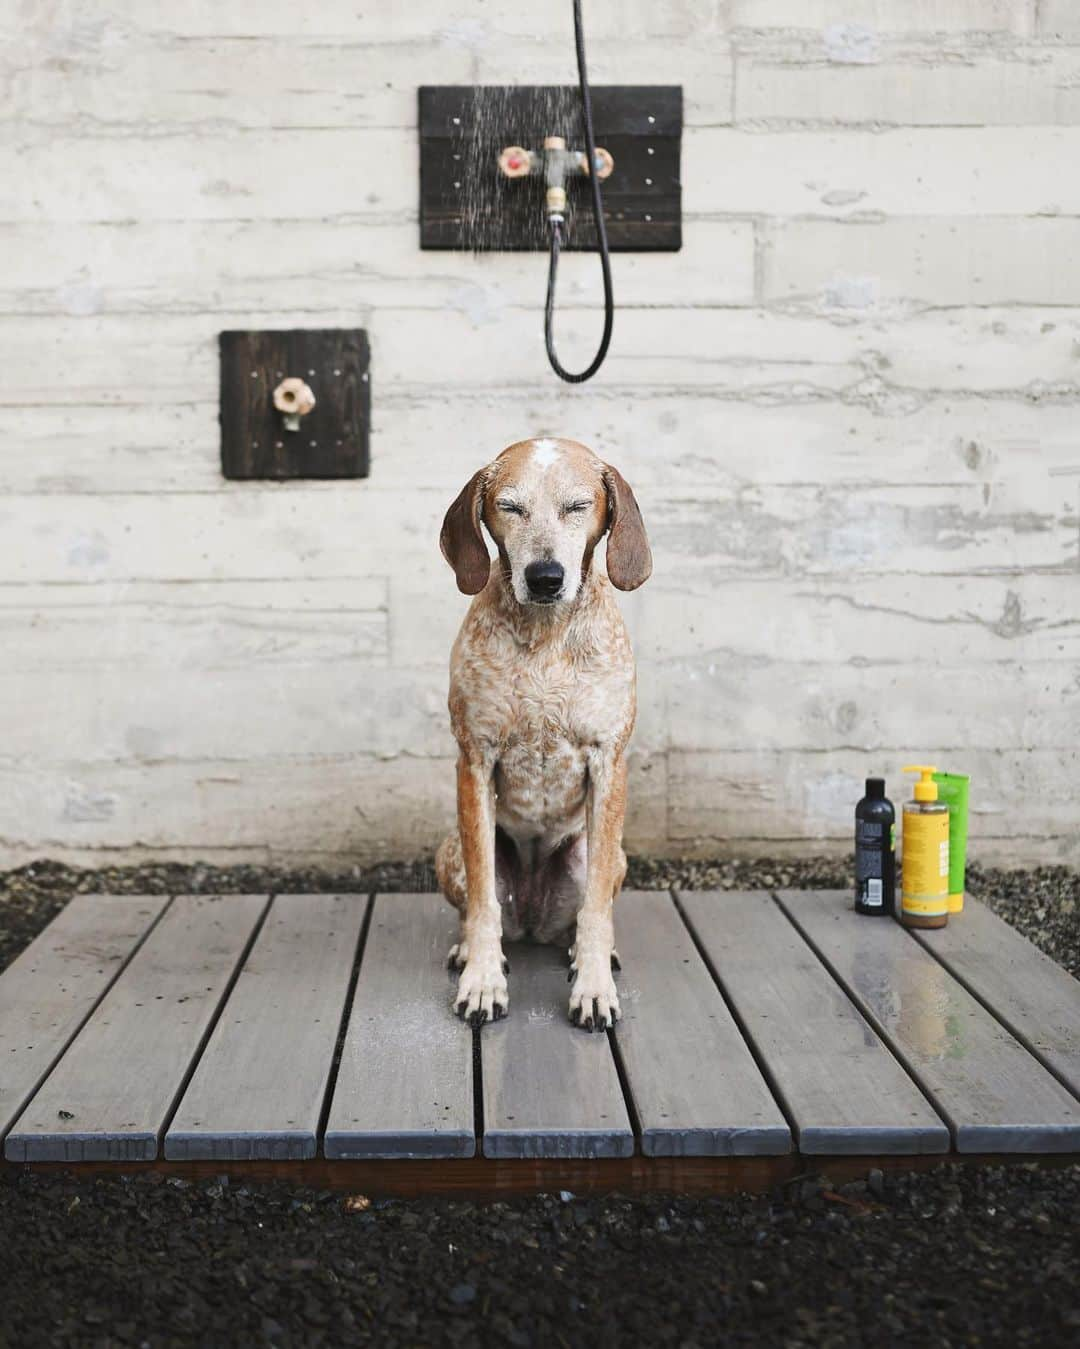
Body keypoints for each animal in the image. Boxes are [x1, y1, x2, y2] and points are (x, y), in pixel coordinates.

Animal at [436, 437, 649, 1025]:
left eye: (578, 506)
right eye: (510, 507)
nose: (545, 577)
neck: (547, 639)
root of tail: (532, 919)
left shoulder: (608, 762)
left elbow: (596, 910)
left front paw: (594, 987)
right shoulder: (475, 760)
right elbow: (483, 903)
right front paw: (482, 979)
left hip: (606, 856)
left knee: (585, 914)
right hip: (449, 850)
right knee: (478, 906)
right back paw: (467, 948)